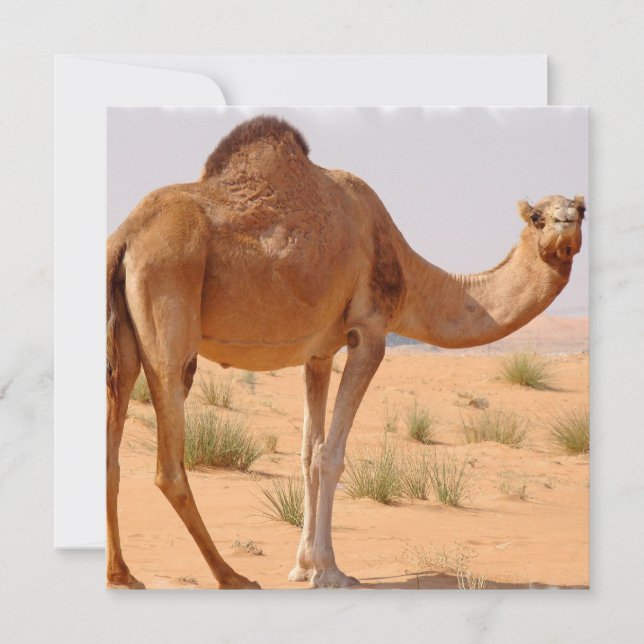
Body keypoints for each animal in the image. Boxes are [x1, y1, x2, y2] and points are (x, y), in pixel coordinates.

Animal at [106, 115, 584, 589]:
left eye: (581, 211)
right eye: (538, 216)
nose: (566, 224)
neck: (407, 271)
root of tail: (125, 237)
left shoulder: (318, 354)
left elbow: (307, 453)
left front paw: (303, 566)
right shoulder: (369, 332)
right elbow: (330, 455)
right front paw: (329, 570)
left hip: (122, 336)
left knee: (113, 443)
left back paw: (123, 574)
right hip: (171, 304)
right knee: (169, 461)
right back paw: (230, 575)